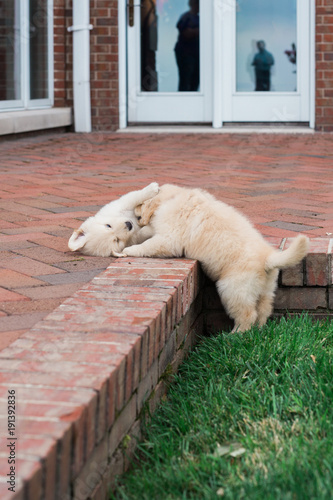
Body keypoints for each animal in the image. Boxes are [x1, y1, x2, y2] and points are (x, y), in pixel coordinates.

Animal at [119, 184, 308, 332]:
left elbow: (149, 244)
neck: (174, 197)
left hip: (233, 288)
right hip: (266, 289)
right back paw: (259, 331)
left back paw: (235, 335)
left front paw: (129, 249)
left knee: (247, 314)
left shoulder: (169, 238)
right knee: (263, 310)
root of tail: (268, 258)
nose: (133, 212)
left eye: (140, 204)